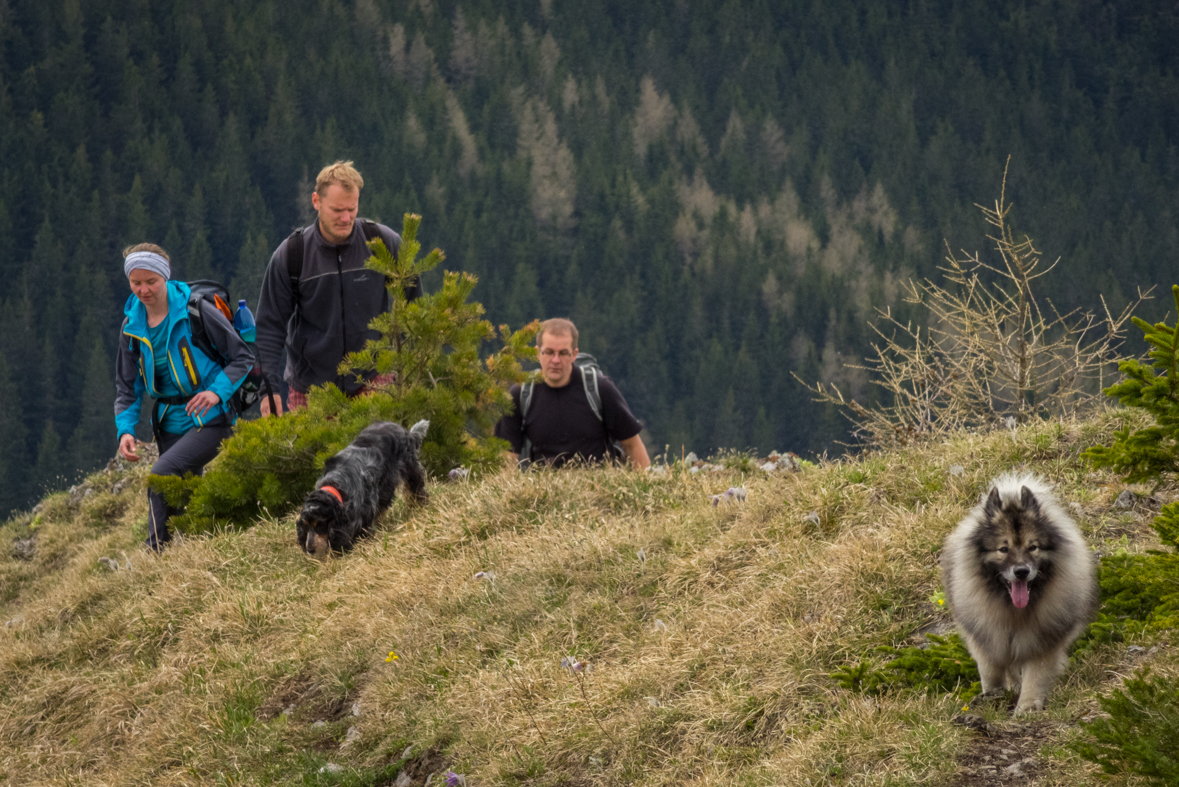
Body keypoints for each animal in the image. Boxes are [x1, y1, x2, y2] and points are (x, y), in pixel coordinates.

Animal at [938, 473, 1094, 711]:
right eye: (1003, 549)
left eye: (1033, 547)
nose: (1021, 571)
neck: (1013, 609)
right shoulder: (987, 636)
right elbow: (991, 670)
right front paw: (993, 695)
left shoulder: (1042, 637)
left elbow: (1036, 673)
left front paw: (1027, 706)